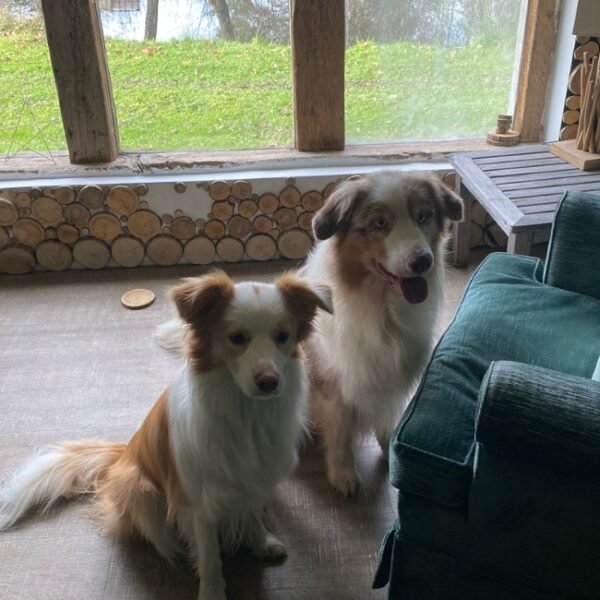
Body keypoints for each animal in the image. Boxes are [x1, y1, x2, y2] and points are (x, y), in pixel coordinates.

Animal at [0, 272, 332, 600]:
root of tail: (122, 454)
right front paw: (212, 592)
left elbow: (251, 515)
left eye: (282, 336)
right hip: (141, 490)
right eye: (237, 338)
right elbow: (210, 558)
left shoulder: (258, 479)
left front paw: (261, 541)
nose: (269, 381)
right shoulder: (197, 502)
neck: (246, 412)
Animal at [300, 171, 464, 494]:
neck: (383, 308)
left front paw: (392, 451)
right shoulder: (334, 383)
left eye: (423, 216)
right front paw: (343, 474)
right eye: (379, 224)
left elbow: (388, 415)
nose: (422, 261)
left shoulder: (390, 376)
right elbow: (340, 433)